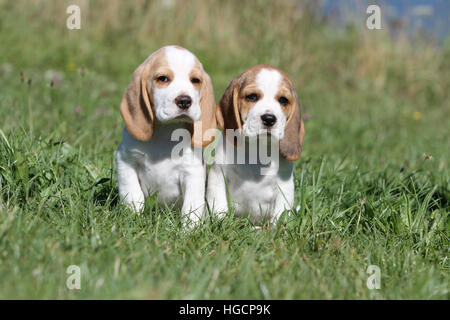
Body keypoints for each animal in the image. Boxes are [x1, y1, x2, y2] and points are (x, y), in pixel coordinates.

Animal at [115, 45, 215, 225]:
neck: (165, 132)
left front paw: (190, 229)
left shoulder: (193, 172)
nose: (185, 101)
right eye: (163, 79)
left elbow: (191, 206)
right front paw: (132, 218)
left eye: (195, 80)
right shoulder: (125, 160)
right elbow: (133, 194)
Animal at [207, 64, 306, 225]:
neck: (257, 148)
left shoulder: (284, 187)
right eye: (252, 96)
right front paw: (220, 223)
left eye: (283, 100)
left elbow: (280, 215)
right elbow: (219, 207)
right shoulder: (218, 177)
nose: (269, 119)